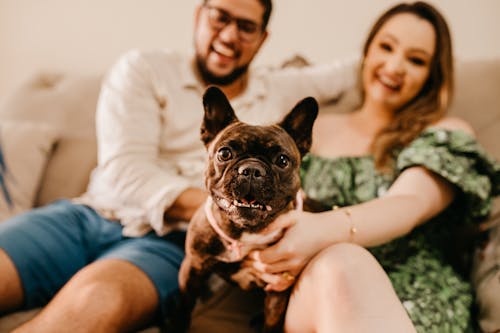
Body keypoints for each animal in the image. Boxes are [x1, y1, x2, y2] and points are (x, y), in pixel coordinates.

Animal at [174, 86, 318, 332]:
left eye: (282, 160)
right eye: (224, 153)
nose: (251, 170)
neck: (245, 231)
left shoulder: (278, 288)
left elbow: (272, 323)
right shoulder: (192, 268)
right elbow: (183, 309)